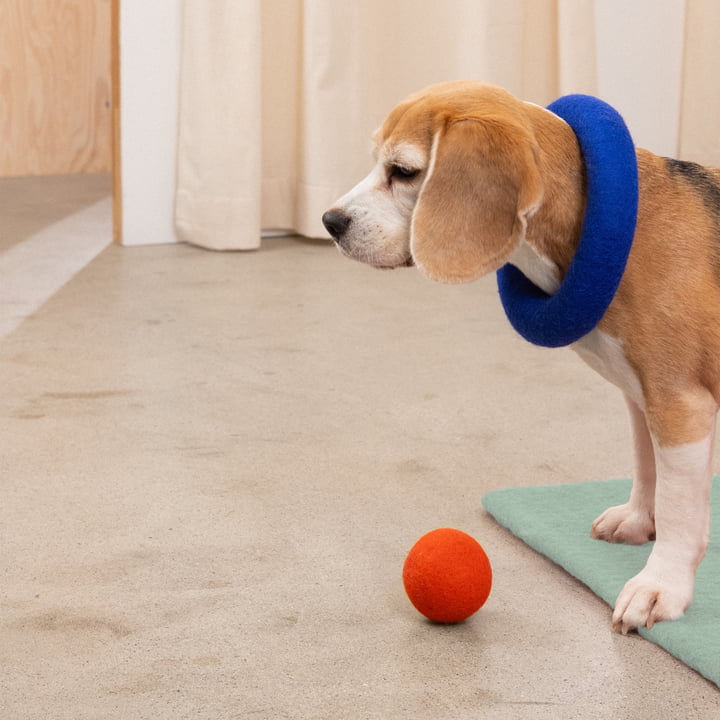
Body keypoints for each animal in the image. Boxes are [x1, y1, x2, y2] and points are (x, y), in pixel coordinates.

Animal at [324, 80, 720, 632]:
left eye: (403, 171)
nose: (329, 221)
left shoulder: (680, 404)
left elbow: (680, 504)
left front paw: (661, 586)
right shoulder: (640, 396)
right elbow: (647, 468)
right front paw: (640, 520)